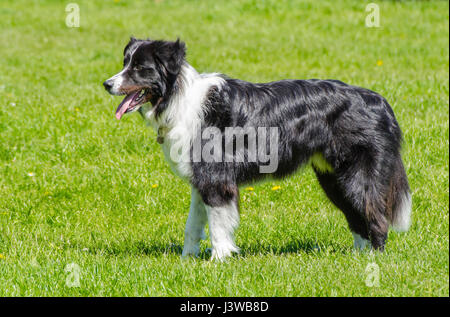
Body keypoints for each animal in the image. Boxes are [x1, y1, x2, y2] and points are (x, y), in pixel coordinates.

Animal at [103, 37, 412, 260]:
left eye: (139, 68)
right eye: (125, 62)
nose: (106, 84)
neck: (177, 97)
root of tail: (380, 101)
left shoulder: (216, 179)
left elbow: (218, 225)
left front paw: (218, 261)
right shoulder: (200, 181)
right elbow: (193, 225)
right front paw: (186, 260)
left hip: (356, 176)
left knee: (376, 217)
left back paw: (373, 262)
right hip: (333, 178)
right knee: (357, 217)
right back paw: (358, 257)